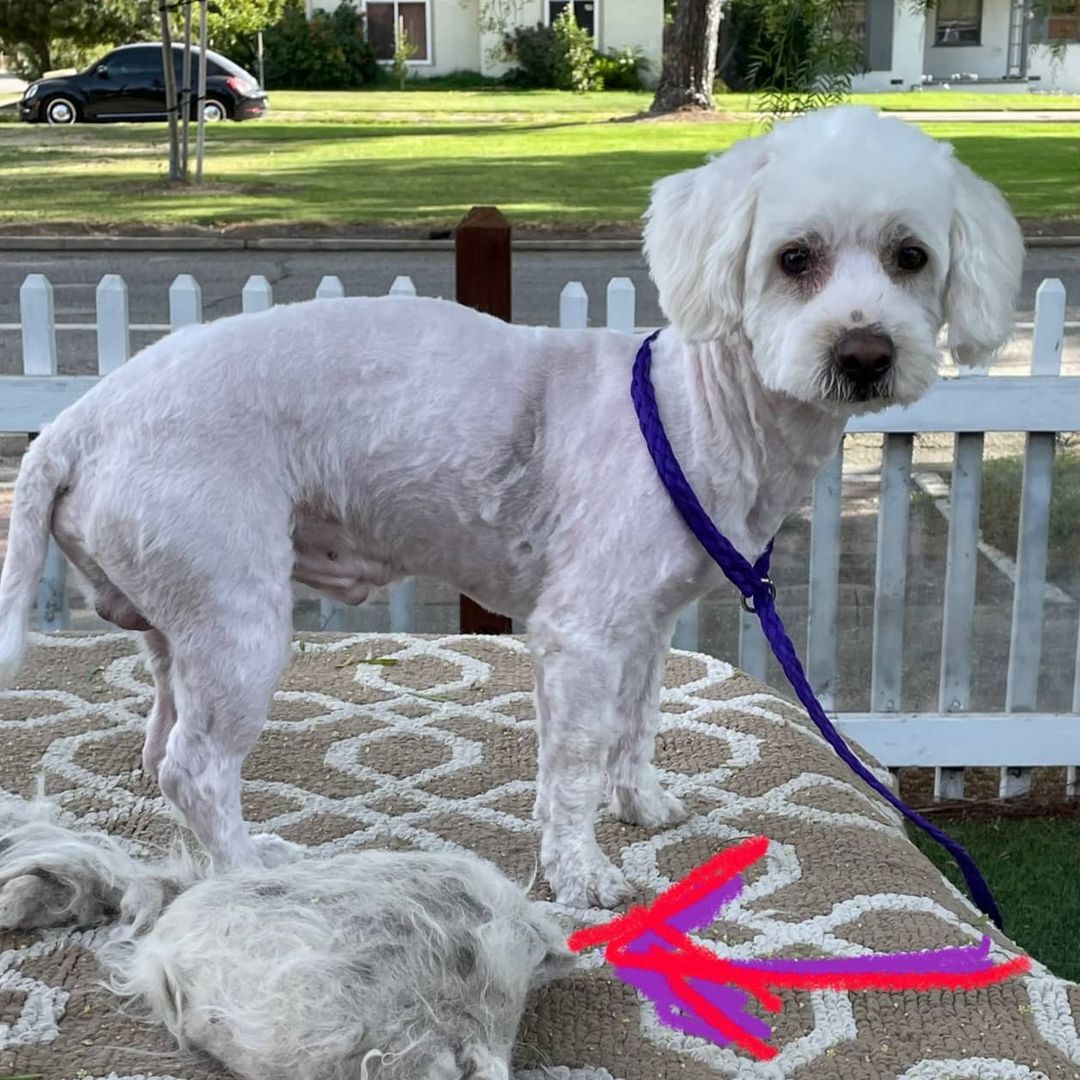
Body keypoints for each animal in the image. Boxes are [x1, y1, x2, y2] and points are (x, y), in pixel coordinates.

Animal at [0, 105, 1019, 907]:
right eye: (794, 258)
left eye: (911, 257)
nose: (864, 352)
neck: (696, 414)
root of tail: (79, 424)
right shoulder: (580, 634)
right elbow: (572, 763)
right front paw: (583, 872)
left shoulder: (644, 628)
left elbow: (637, 723)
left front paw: (640, 803)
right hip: (237, 614)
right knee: (198, 769)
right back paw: (254, 873)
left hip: (180, 620)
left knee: (162, 742)